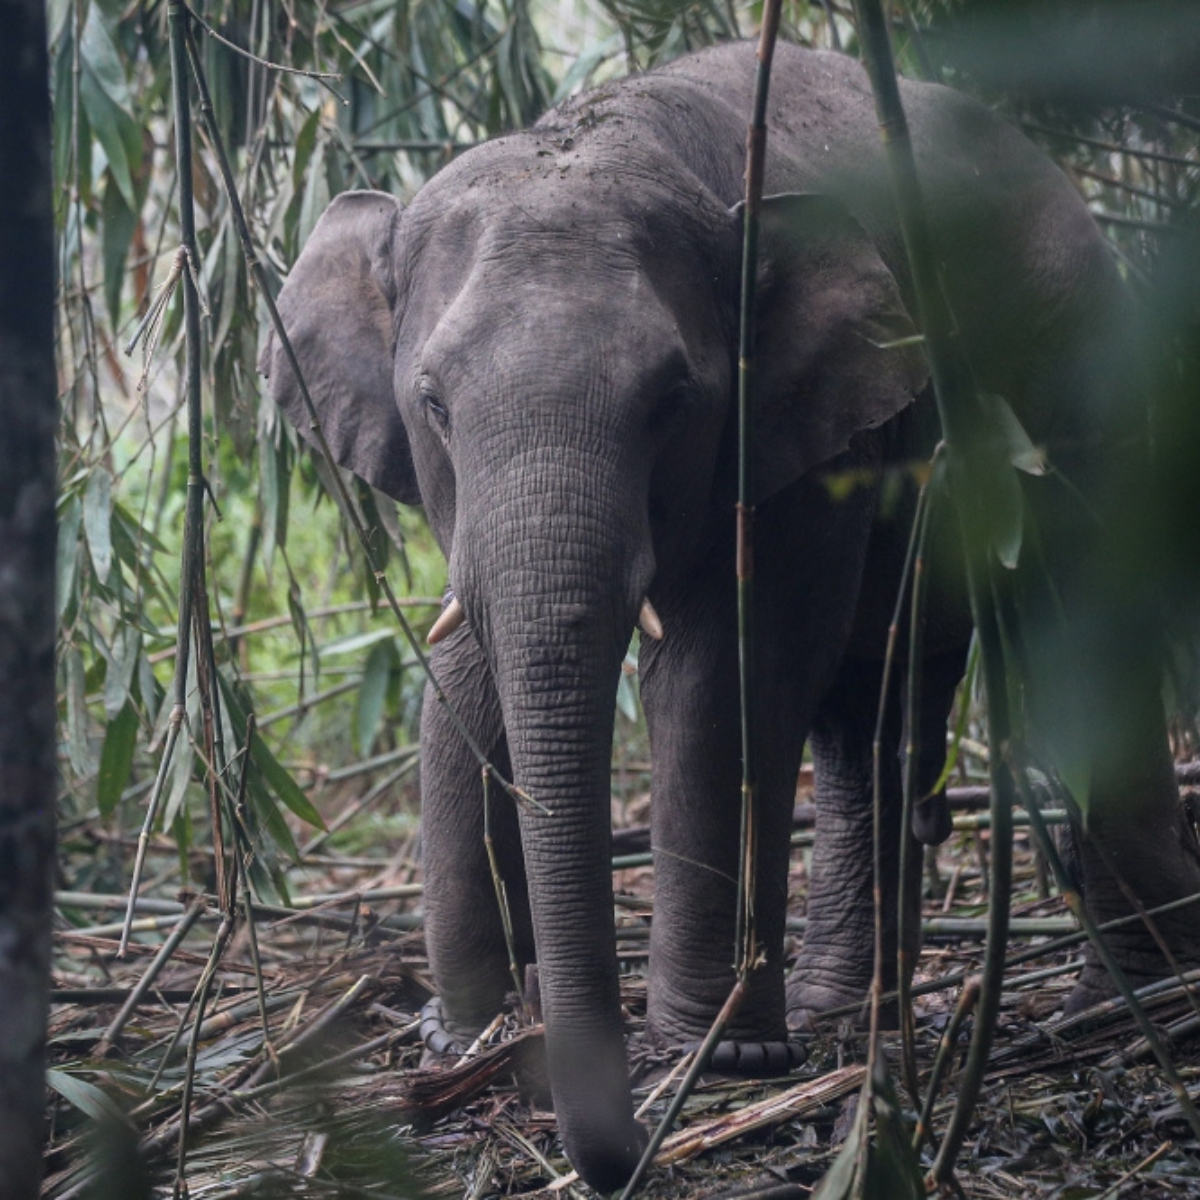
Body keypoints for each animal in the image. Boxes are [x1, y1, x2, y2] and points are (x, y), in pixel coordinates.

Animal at [260, 40, 1200, 1191]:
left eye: (672, 398)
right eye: (431, 402)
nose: (613, 1150)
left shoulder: (802, 428)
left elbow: (728, 670)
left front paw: (721, 1058)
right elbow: (468, 671)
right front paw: (463, 1039)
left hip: (1081, 373)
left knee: (1076, 618)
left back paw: (1126, 996)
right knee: (875, 705)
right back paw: (850, 1011)